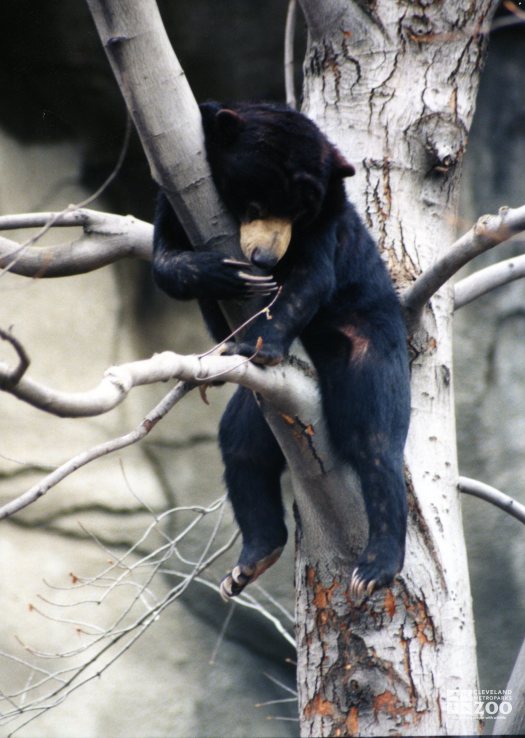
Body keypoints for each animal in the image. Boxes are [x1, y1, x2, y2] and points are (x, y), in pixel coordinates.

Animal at [151, 102, 410, 600]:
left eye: (301, 211)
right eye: (256, 203)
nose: (264, 260)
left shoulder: (328, 223)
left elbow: (309, 279)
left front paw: (262, 344)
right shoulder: (171, 198)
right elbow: (164, 260)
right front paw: (224, 273)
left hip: (370, 342)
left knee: (375, 440)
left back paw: (374, 568)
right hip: (262, 409)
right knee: (242, 446)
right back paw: (250, 561)